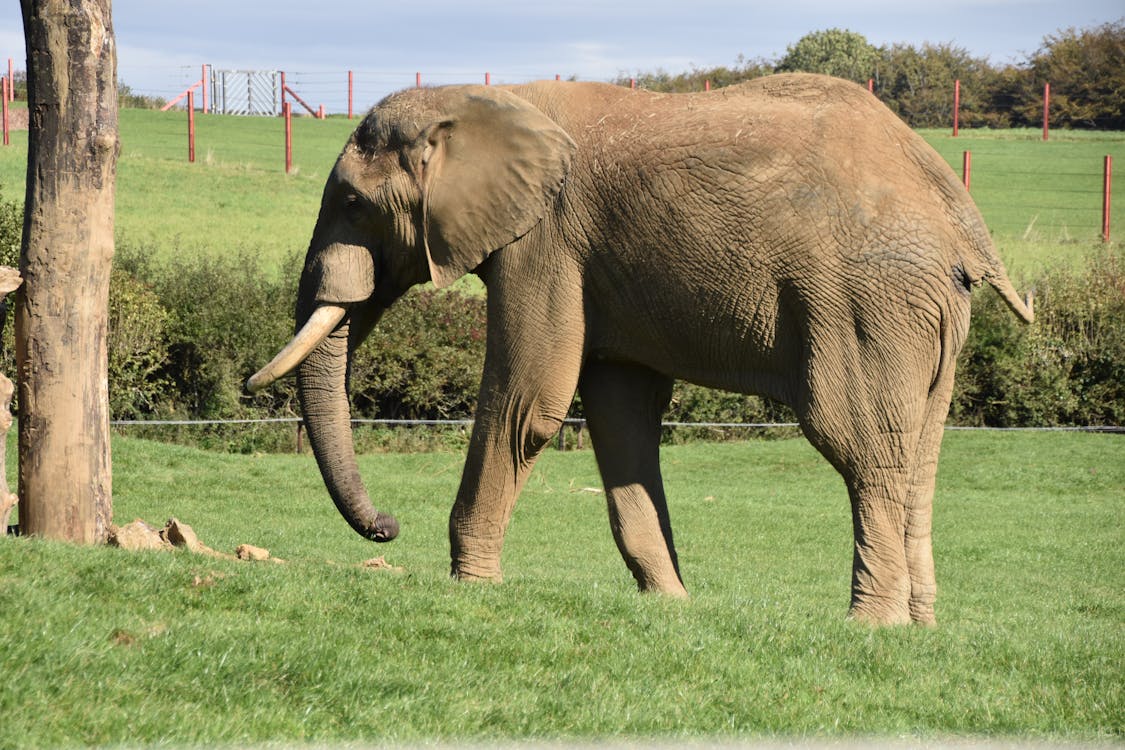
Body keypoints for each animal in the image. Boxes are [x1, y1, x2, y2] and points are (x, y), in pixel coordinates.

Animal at [248, 74, 1035, 629]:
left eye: (353, 203)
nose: (386, 528)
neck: (478, 98)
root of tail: (961, 219)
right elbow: (619, 415)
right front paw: (671, 606)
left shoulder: (546, 240)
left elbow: (529, 401)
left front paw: (471, 588)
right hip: (926, 314)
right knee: (918, 455)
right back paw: (918, 628)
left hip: (863, 302)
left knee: (859, 443)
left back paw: (869, 627)